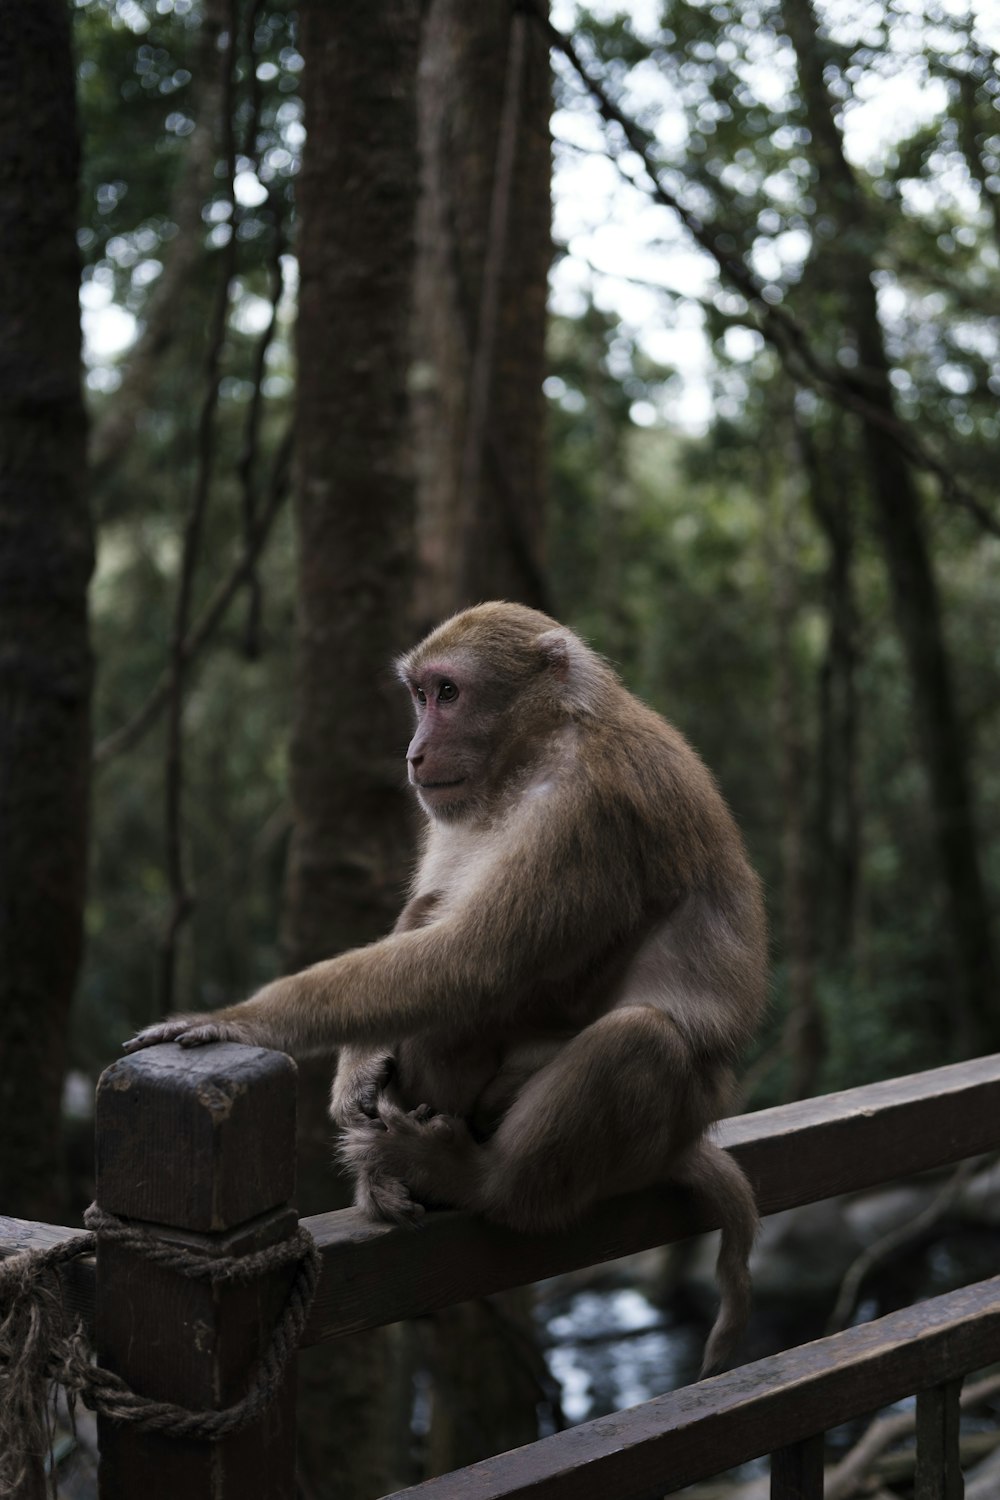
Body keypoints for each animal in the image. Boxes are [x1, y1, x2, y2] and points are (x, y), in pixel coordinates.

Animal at [125, 603, 767, 1374]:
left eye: (450, 694)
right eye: (419, 694)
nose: (414, 751)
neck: (536, 750)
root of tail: (688, 1138)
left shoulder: (586, 808)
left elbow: (472, 963)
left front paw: (241, 1018)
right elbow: (435, 925)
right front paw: (358, 1069)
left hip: (649, 1132)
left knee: (637, 1039)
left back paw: (473, 1179)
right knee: (439, 929)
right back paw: (388, 1175)